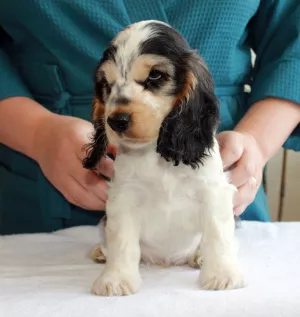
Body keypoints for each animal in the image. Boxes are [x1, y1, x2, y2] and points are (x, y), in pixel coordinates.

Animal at [83, 20, 245, 296]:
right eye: (107, 84)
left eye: (155, 75)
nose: (116, 121)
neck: (156, 153)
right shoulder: (123, 198)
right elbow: (122, 241)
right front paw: (116, 279)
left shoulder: (213, 192)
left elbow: (217, 234)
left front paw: (222, 275)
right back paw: (101, 252)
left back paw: (199, 257)